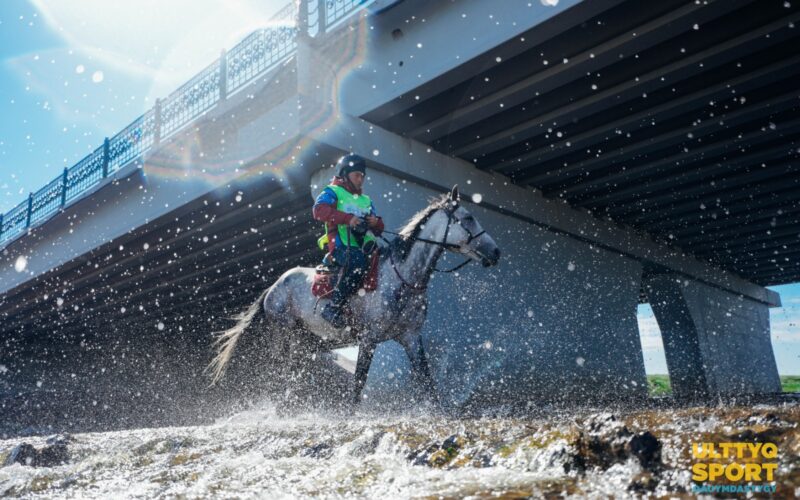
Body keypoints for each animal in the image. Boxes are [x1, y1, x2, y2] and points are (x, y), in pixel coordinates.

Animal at [208, 187, 500, 406]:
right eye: (469, 218)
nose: (495, 251)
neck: (403, 277)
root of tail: (274, 286)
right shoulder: (369, 338)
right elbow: (359, 382)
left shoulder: (411, 337)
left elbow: (426, 380)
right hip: (285, 335)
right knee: (279, 372)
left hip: (306, 343)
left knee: (292, 375)